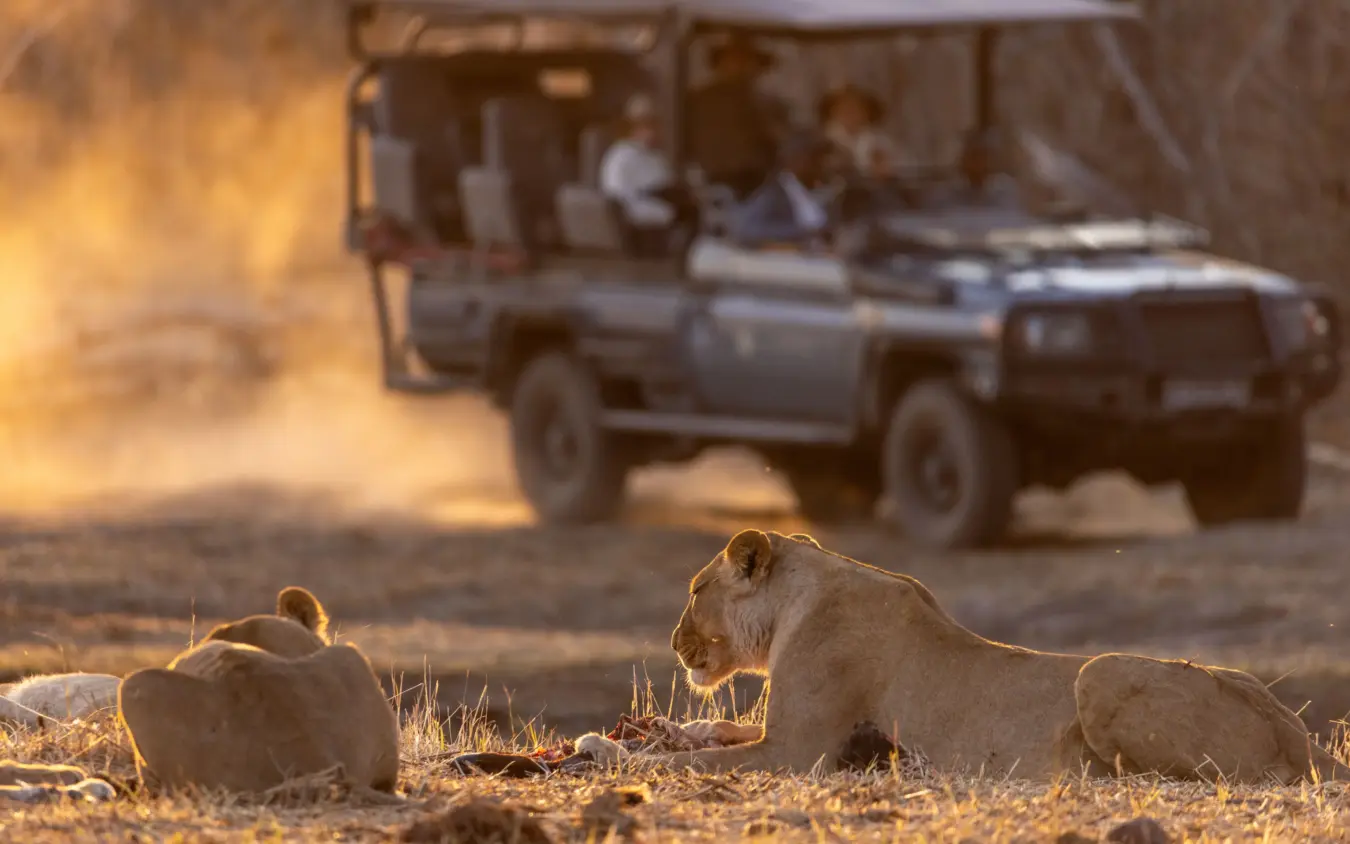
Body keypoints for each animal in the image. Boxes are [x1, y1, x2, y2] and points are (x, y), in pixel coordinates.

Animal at [639, 529, 1349, 784]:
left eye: (696, 591)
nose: (673, 641)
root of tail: (1293, 729)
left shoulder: (795, 750)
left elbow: (696, 763)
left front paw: (631, 756)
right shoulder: (780, 735)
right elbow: (714, 734)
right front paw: (672, 731)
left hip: (1097, 672)